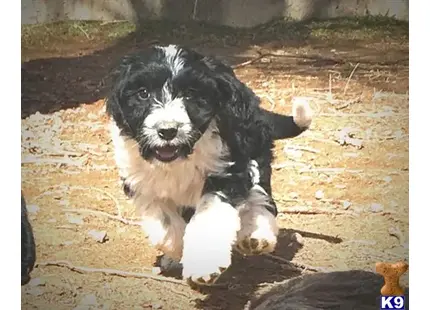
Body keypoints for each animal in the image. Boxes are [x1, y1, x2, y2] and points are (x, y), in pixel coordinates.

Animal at [104, 44, 312, 284]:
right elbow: (163, 222)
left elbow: (209, 217)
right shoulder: (141, 183)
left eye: (190, 94)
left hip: (254, 153)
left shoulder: (226, 173)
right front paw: (177, 250)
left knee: (260, 197)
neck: (181, 156)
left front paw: (203, 263)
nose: (167, 131)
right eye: (143, 93)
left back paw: (257, 235)